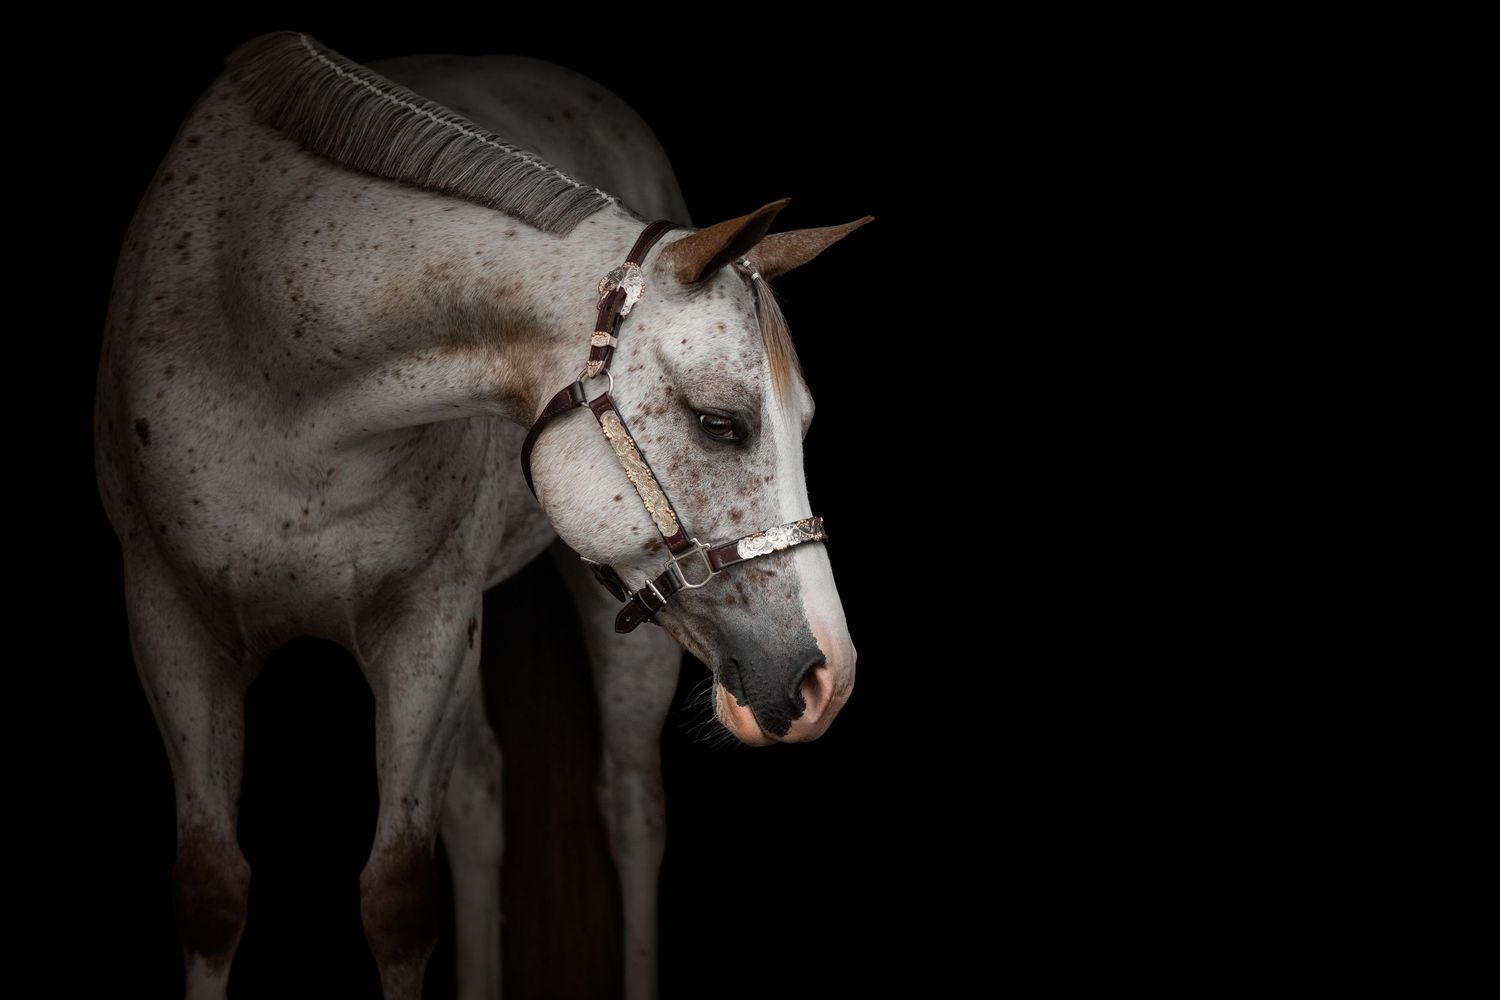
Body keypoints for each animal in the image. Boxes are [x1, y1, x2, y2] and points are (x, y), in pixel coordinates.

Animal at [93, 30, 869, 999]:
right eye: (719, 422)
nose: (828, 677)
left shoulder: (423, 627)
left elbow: (396, 899)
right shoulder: (170, 624)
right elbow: (211, 891)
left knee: (630, 808)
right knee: (478, 797)